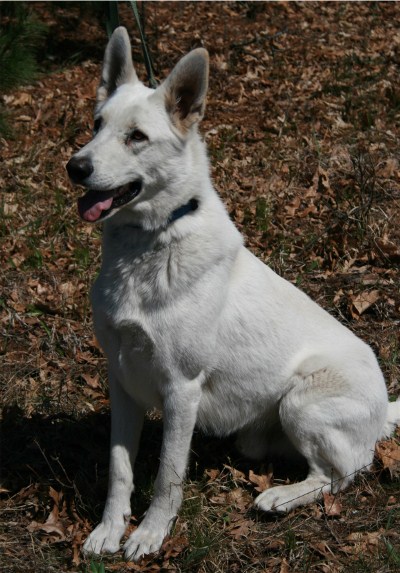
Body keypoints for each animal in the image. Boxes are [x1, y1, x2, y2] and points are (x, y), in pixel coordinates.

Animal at [66, 29, 400, 560]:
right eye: (97, 126)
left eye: (137, 137)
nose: (74, 167)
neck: (151, 242)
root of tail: (385, 406)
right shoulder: (121, 381)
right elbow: (120, 470)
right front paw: (109, 529)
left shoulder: (181, 390)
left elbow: (167, 477)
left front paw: (149, 535)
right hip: (264, 431)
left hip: (300, 402)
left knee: (342, 474)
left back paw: (281, 497)